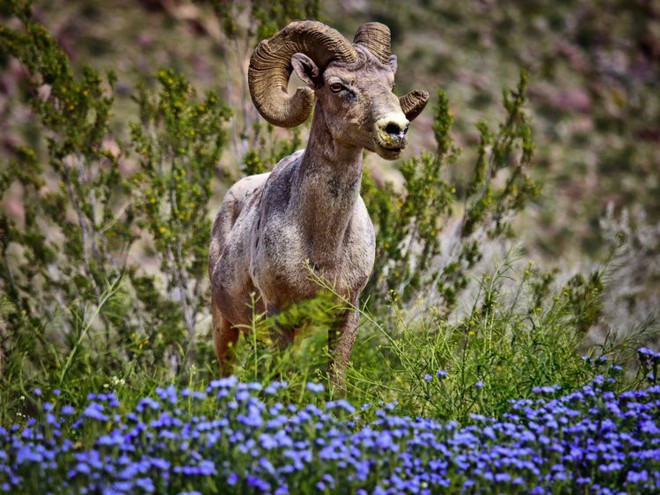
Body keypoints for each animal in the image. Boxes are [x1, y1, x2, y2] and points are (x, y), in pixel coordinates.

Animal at [209, 21, 430, 388]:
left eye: (390, 84)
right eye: (337, 86)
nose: (395, 130)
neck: (322, 245)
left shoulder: (346, 314)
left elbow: (334, 379)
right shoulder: (280, 317)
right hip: (224, 325)